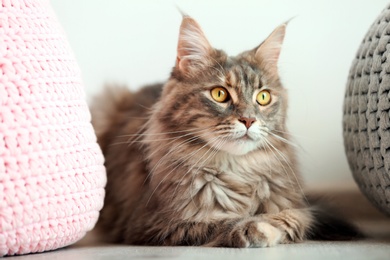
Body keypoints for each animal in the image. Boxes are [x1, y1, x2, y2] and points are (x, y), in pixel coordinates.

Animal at [92, 15, 360, 247]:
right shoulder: (155, 224)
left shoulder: (299, 205)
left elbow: (296, 216)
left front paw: (270, 223)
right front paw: (256, 227)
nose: (248, 119)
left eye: (263, 97)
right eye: (219, 94)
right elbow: (219, 222)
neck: (237, 170)